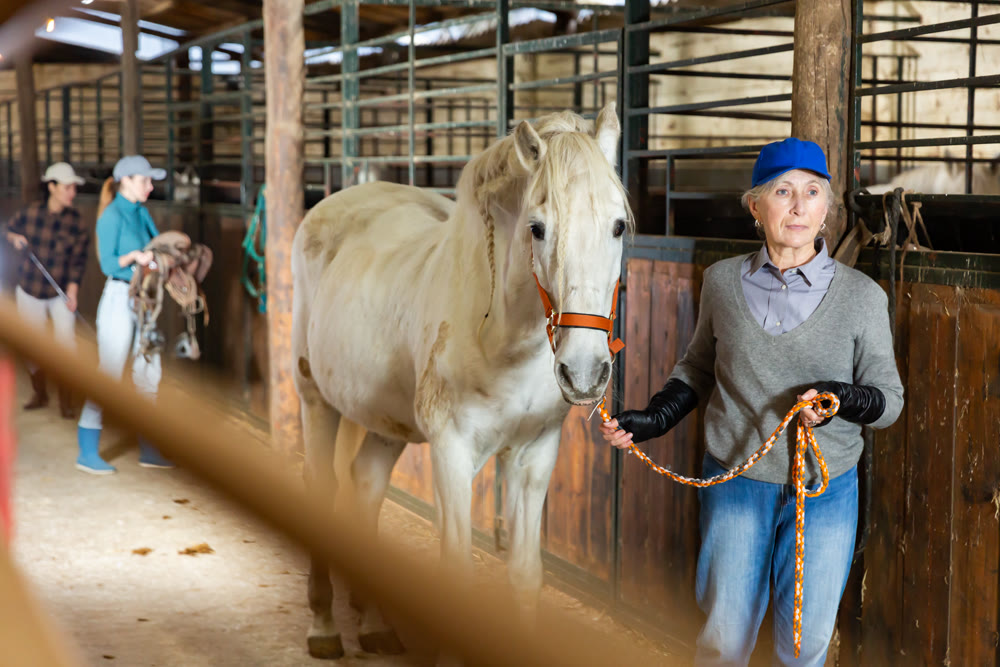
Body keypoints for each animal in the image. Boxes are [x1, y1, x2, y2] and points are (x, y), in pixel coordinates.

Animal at [291, 102, 630, 659]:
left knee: (365, 488)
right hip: (316, 399)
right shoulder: (451, 452)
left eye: (619, 225)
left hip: (385, 424)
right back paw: (322, 626)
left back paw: (374, 625)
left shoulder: (534, 455)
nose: (583, 372)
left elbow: (525, 575)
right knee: (321, 487)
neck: (497, 333)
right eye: (537, 228)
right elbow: (457, 574)